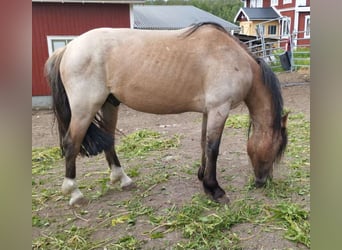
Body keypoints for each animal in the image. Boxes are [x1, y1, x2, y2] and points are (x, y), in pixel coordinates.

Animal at [44, 22, 288, 207]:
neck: (233, 57)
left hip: (109, 105)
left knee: (109, 141)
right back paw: (74, 192)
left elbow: (203, 144)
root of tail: (68, 48)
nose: (263, 181)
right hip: (85, 109)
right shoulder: (219, 109)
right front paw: (215, 189)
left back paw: (122, 179)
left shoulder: (209, 111)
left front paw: (203, 178)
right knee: (71, 144)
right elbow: (213, 149)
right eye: (277, 148)